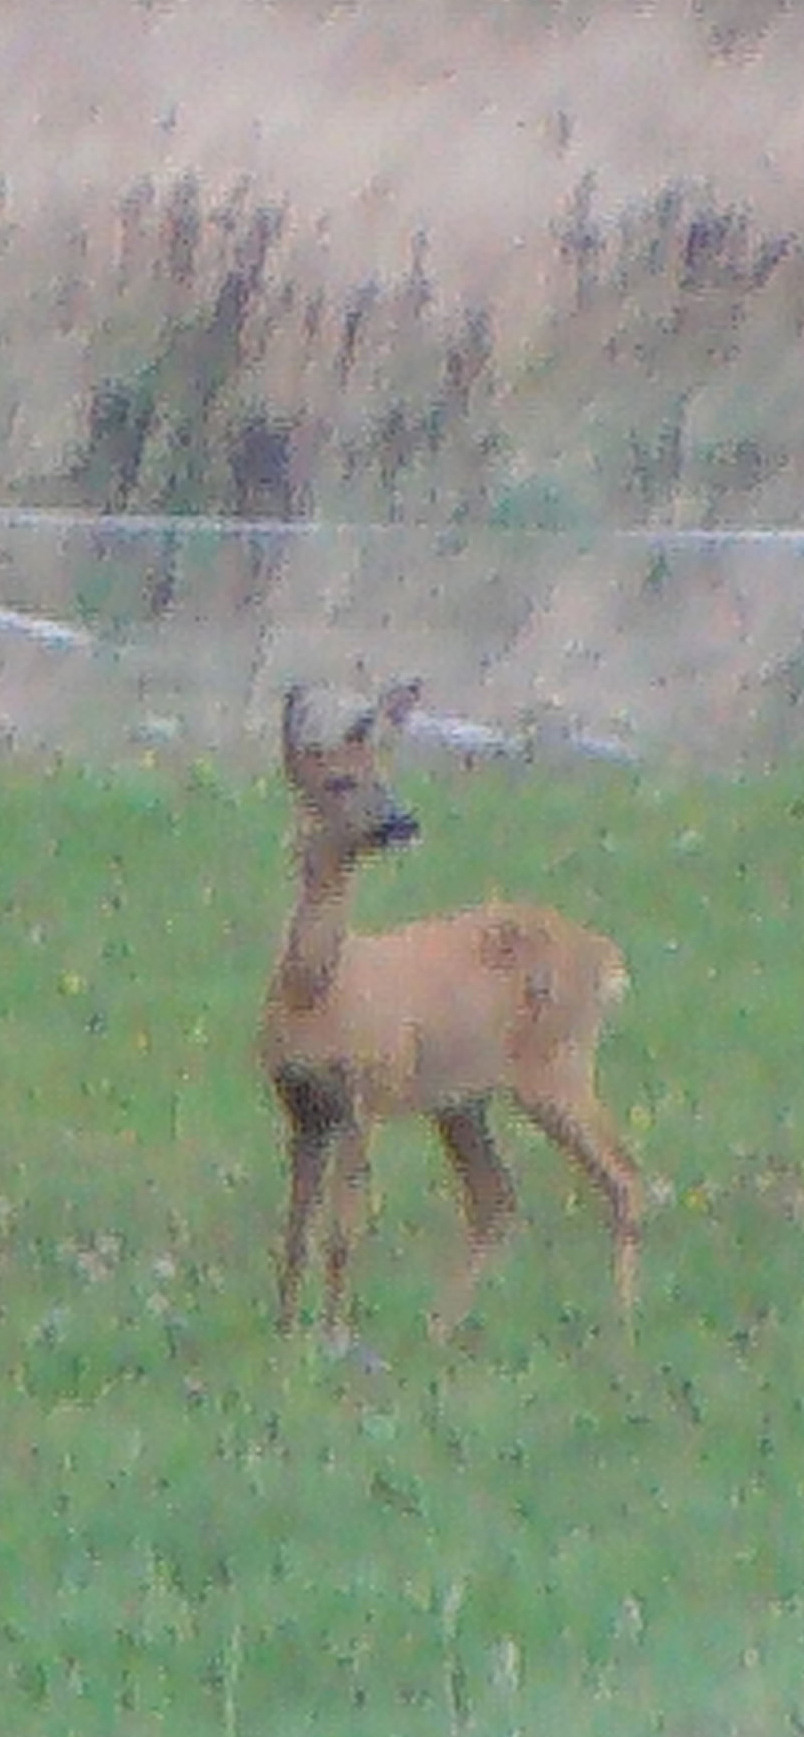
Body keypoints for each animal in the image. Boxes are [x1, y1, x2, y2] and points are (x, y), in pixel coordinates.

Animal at [260, 684, 645, 1334]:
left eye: (383, 772)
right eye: (339, 780)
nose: (402, 821)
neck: (317, 995)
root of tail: (606, 959)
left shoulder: (366, 1093)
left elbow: (341, 1232)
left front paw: (332, 1336)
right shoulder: (303, 1107)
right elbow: (295, 1234)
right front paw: (285, 1333)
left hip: (556, 1063)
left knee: (625, 1177)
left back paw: (622, 1327)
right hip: (463, 1099)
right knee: (496, 1198)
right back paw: (441, 1327)